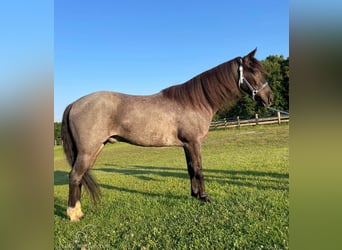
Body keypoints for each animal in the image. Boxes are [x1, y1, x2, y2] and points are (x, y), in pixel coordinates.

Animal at [61, 48, 272, 221]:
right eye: (255, 72)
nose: (269, 98)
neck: (194, 102)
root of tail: (74, 103)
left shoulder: (187, 145)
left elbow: (190, 169)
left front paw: (194, 195)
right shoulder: (194, 143)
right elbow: (199, 169)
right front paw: (205, 198)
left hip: (95, 149)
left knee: (80, 177)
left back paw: (78, 211)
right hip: (88, 151)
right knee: (75, 176)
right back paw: (73, 214)